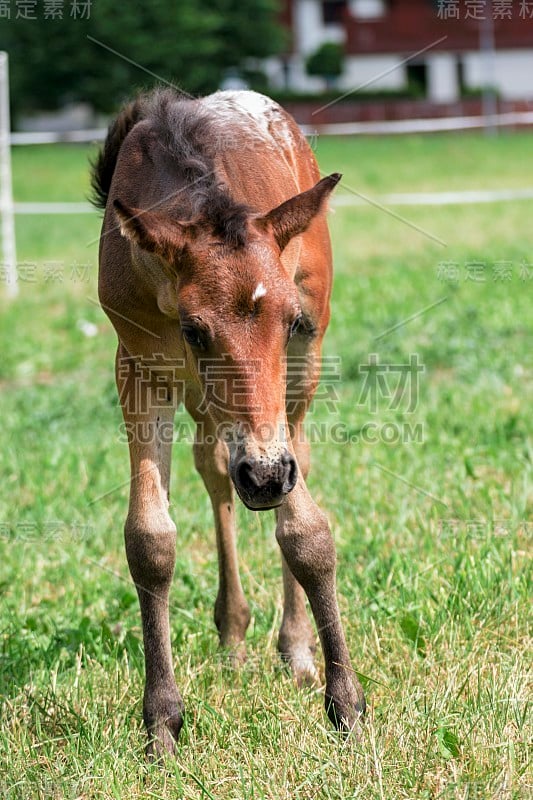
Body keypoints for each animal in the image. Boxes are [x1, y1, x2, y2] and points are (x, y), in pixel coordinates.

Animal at [92, 87, 366, 756]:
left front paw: (345, 702)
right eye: (194, 330)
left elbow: (308, 533)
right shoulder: (137, 366)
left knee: (287, 461)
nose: (265, 477)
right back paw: (233, 632)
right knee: (216, 470)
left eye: (289, 320)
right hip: (203, 401)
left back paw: (293, 647)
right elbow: (150, 539)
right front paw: (162, 720)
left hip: (296, 384)